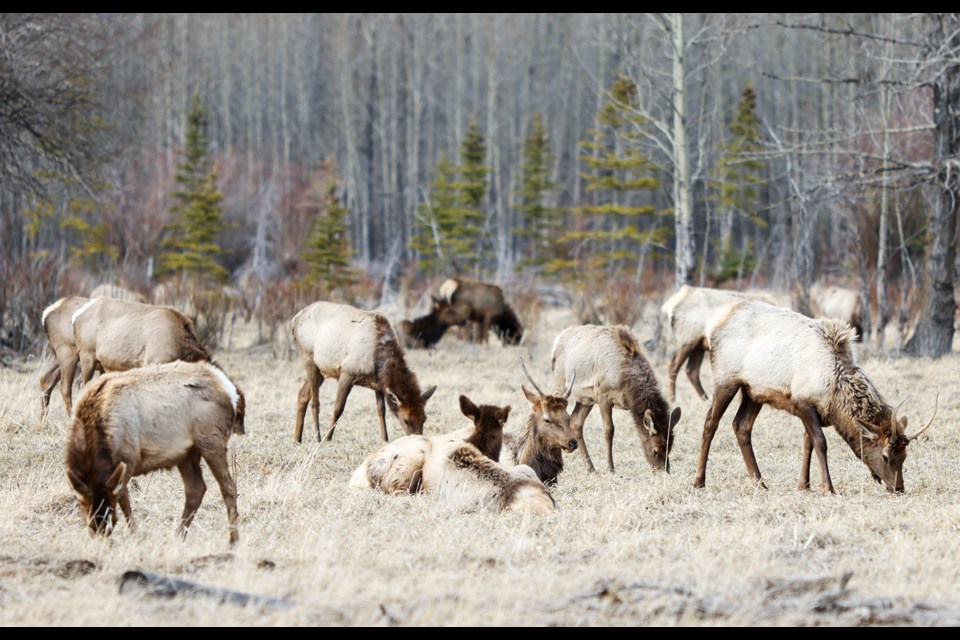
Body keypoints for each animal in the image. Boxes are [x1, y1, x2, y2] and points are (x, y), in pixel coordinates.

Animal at [65, 360, 246, 544]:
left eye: (111, 512)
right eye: (85, 510)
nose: (101, 531)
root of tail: (230, 391)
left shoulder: (128, 460)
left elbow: (124, 500)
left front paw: (135, 534)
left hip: (211, 441)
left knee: (229, 487)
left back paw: (233, 540)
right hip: (186, 453)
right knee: (196, 489)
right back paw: (179, 536)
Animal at [290, 302, 436, 444]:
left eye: (424, 418)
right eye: (407, 420)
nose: (418, 438)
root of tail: (295, 319)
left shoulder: (379, 383)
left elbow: (381, 410)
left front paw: (385, 438)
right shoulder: (347, 372)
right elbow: (338, 408)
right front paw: (328, 437)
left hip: (322, 369)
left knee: (302, 394)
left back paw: (297, 438)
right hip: (309, 357)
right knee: (315, 401)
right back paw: (318, 437)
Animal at [552, 324, 680, 476]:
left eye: (670, 447)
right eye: (655, 450)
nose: (664, 470)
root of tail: (556, 340)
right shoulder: (603, 395)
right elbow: (609, 430)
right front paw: (610, 468)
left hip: (586, 398)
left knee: (576, 422)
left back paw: (590, 467)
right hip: (560, 383)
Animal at [660, 284, 788, 400]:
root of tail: (670, 304)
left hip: (699, 346)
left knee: (691, 371)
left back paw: (705, 400)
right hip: (687, 339)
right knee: (673, 366)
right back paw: (672, 399)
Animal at [692, 302, 932, 496]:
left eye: (904, 456)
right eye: (885, 456)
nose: (899, 488)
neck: (835, 394)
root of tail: (715, 326)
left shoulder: (813, 408)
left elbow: (807, 441)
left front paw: (804, 485)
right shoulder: (803, 402)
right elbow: (820, 442)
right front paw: (828, 488)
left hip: (754, 392)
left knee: (741, 425)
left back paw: (759, 482)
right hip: (726, 379)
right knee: (710, 422)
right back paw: (699, 481)